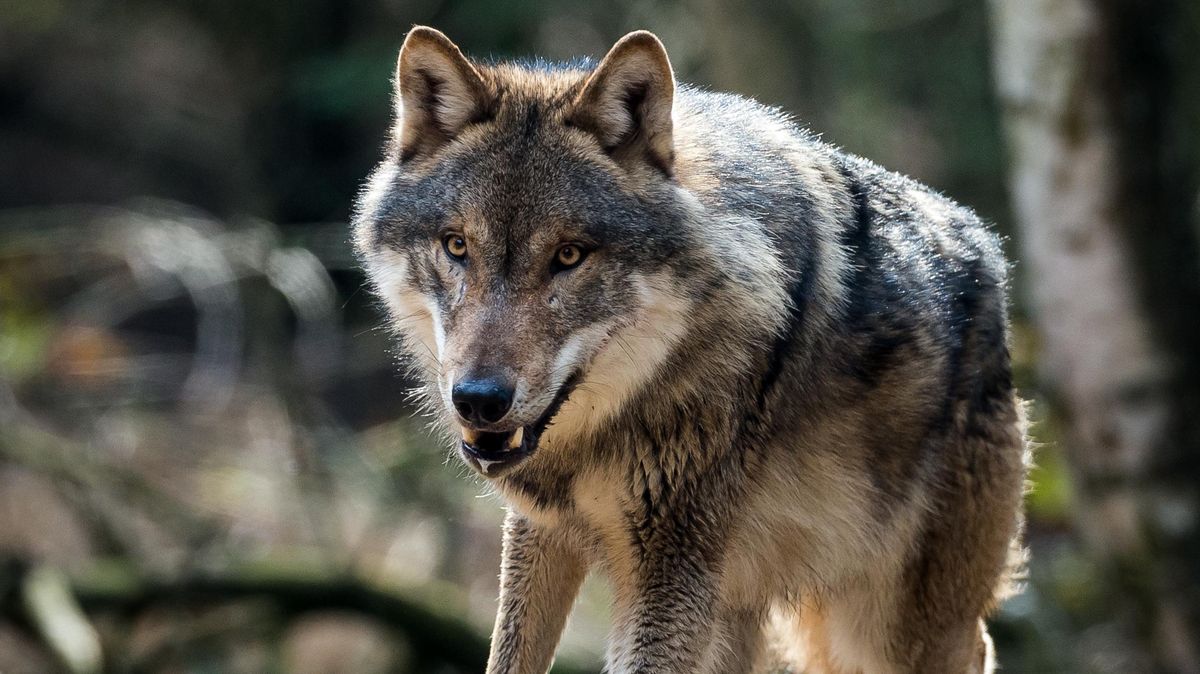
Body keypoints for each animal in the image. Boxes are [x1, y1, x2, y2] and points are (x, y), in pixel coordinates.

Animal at [353, 25, 1028, 674]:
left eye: (569, 255)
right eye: (457, 246)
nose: (478, 400)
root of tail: (990, 253)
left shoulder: (670, 569)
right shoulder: (542, 532)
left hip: (883, 628)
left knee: (976, 647)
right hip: (745, 611)